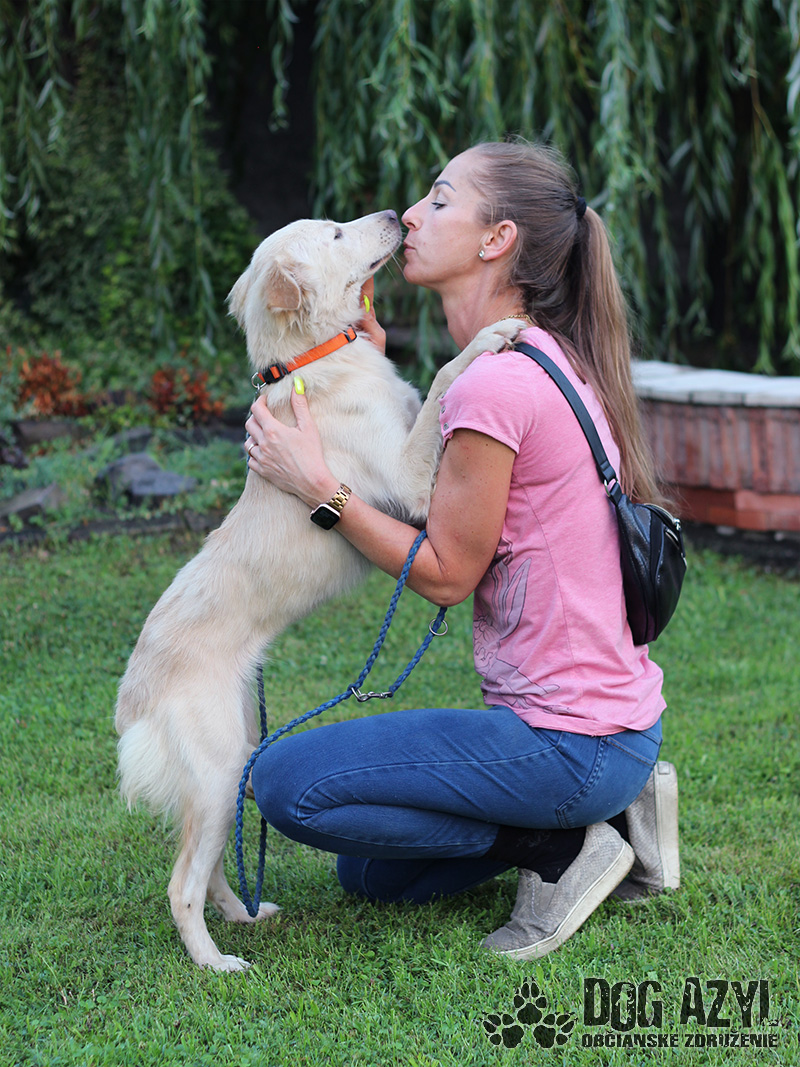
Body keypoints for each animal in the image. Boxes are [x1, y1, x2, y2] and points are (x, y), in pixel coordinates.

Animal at [115, 209, 522, 970]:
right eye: (335, 233)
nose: (397, 215)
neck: (310, 362)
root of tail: (134, 697)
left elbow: (430, 392)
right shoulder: (413, 492)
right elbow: (445, 375)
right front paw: (492, 337)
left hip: (236, 757)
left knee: (209, 864)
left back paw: (242, 915)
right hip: (218, 765)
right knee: (181, 883)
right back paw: (215, 962)